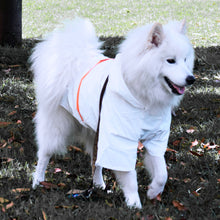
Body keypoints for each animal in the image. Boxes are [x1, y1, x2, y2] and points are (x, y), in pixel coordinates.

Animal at [30, 18, 194, 209]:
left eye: (185, 59)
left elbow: (162, 173)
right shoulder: (120, 140)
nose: (191, 79)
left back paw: (98, 185)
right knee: (44, 154)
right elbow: (130, 177)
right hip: (57, 126)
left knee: (96, 161)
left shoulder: (156, 137)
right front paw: (134, 204)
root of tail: (73, 55)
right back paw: (38, 181)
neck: (142, 97)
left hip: (97, 131)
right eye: (170, 61)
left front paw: (154, 191)